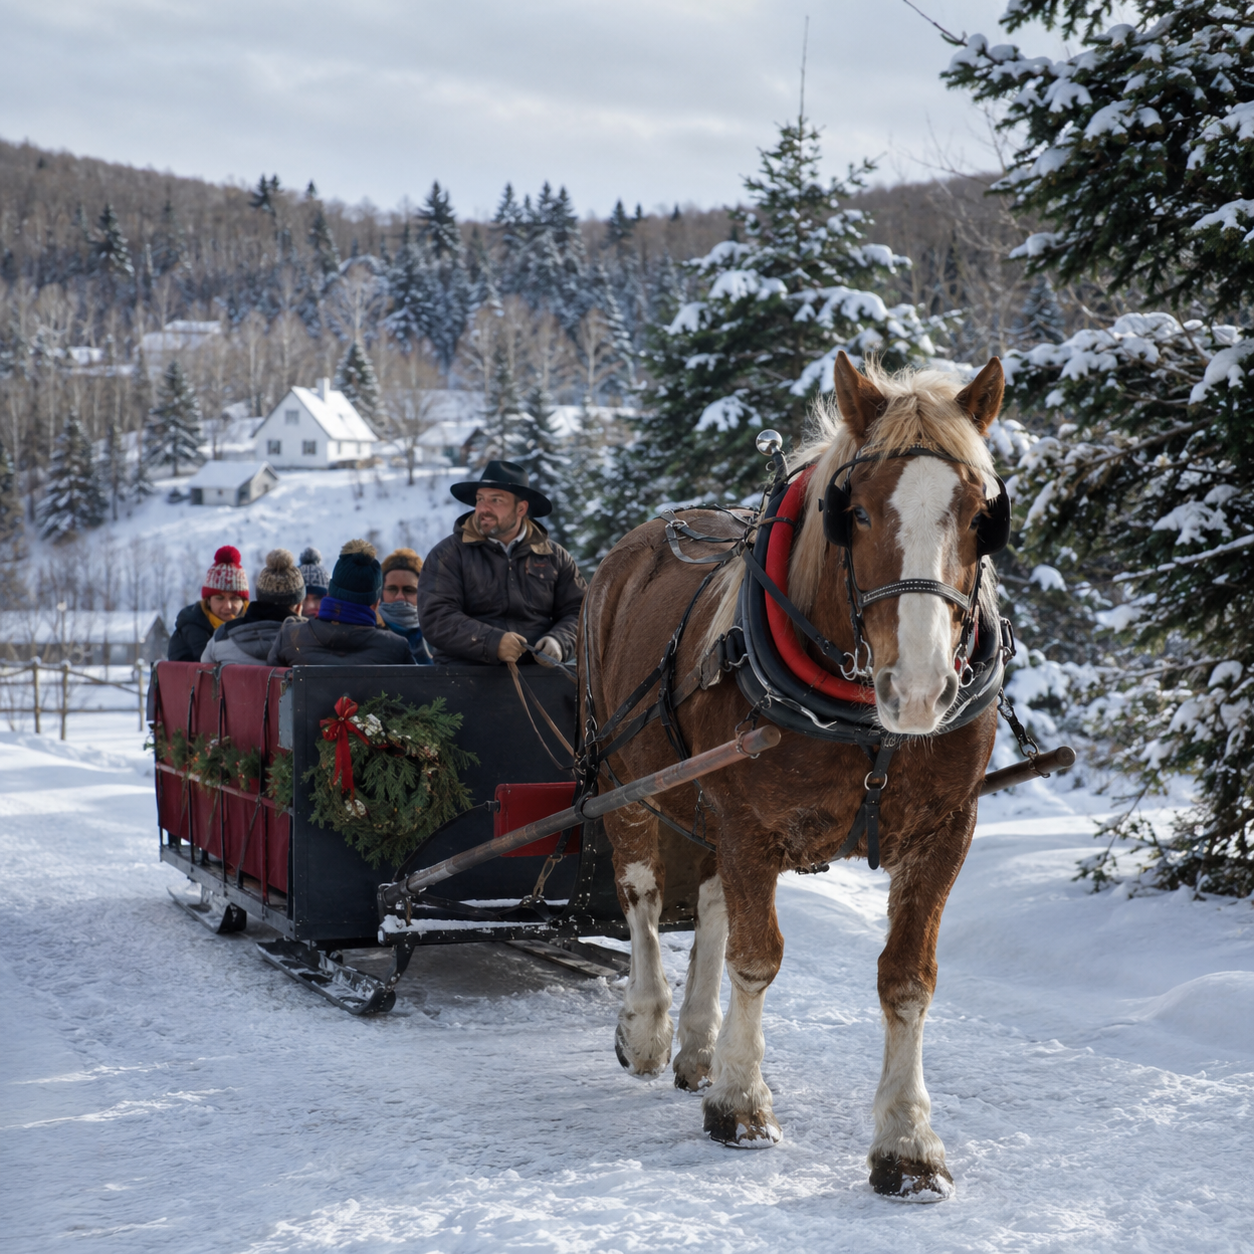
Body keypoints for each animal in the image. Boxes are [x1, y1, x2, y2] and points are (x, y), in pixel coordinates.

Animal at [579, 351, 1008, 1201]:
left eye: (982, 516)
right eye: (858, 514)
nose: (920, 688)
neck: (863, 722)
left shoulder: (945, 833)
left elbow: (907, 980)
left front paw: (907, 1143)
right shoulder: (748, 820)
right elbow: (757, 957)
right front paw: (741, 1105)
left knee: (710, 903)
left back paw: (698, 1046)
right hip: (627, 777)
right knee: (642, 894)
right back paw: (648, 1027)